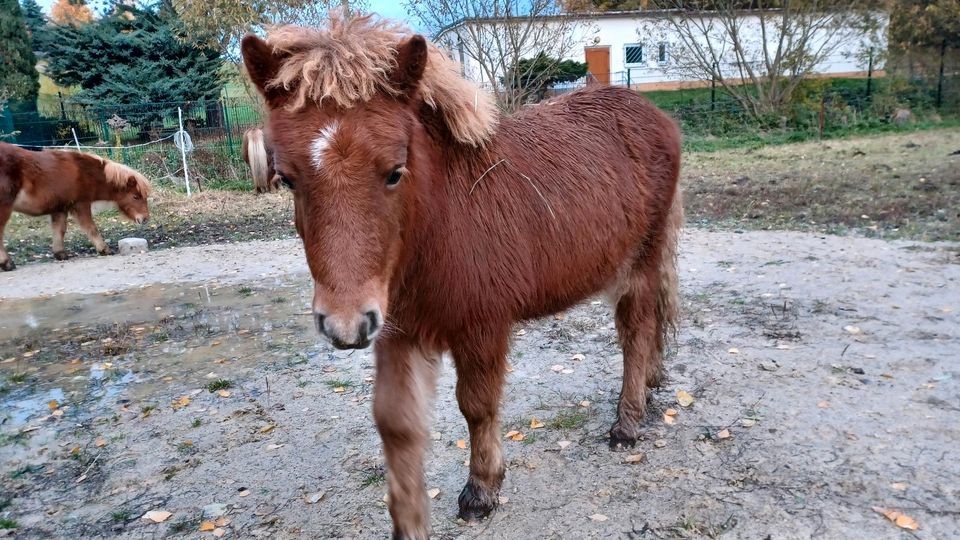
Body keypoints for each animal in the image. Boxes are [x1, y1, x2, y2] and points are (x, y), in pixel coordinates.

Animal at [0, 142, 151, 272]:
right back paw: (7, 263)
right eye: (136, 196)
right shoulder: (81, 205)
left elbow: (59, 230)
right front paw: (104, 249)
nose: (145, 219)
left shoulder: (59, 209)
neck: (84, 172)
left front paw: (60, 254)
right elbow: (91, 228)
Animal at [244, 13, 688, 540]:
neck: (438, 224)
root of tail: (654, 114)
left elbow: (476, 406)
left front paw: (482, 490)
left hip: (641, 262)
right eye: (287, 178)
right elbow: (395, 423)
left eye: (395, 171)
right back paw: (652, 384)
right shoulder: (397, 332)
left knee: (636, 332)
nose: (345, 325)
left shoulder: (482, 326)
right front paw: (410, 519)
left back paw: (627, 423)